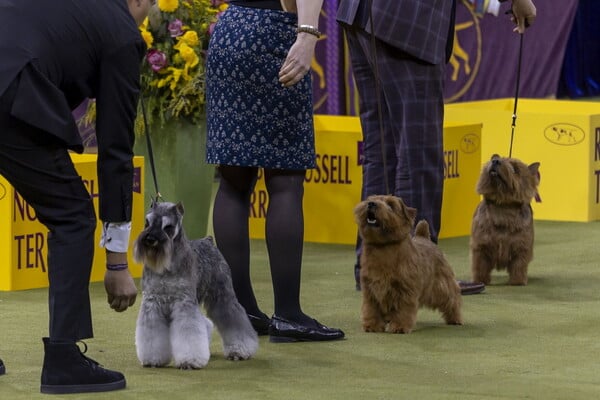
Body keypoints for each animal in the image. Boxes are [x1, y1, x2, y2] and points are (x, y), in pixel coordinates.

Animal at [133, 202, 258, 370]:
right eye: (147, 222)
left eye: (168, 226)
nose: (150, 239)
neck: (167, 265)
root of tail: (208, 240)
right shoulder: (152, 303)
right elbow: (152, 334)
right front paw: (153, 359)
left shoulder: (184, 303)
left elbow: (189, 332)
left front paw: (189, 361)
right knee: (206, 323)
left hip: (222, 296)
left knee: (234, 317)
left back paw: (240, 350)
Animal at [354, 195, 462, 332]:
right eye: (370, 199)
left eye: (390, 205)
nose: (371, 204)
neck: (383, 246)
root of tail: (424, 237)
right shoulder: (370, 290)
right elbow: (371, 309)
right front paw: (372, 326)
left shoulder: (405, 290)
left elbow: (403, 309)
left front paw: (400, 327)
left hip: (441, 287)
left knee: (452, 299)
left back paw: (455, 319)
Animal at [472, 153, 540, 284]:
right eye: (494, 159)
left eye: (515, 169)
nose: (495, 161)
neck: (503, 205)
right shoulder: (481, 245)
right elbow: (480, 265)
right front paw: (480, 281)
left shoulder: (521, 245)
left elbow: (519, 264)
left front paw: (518, 281)